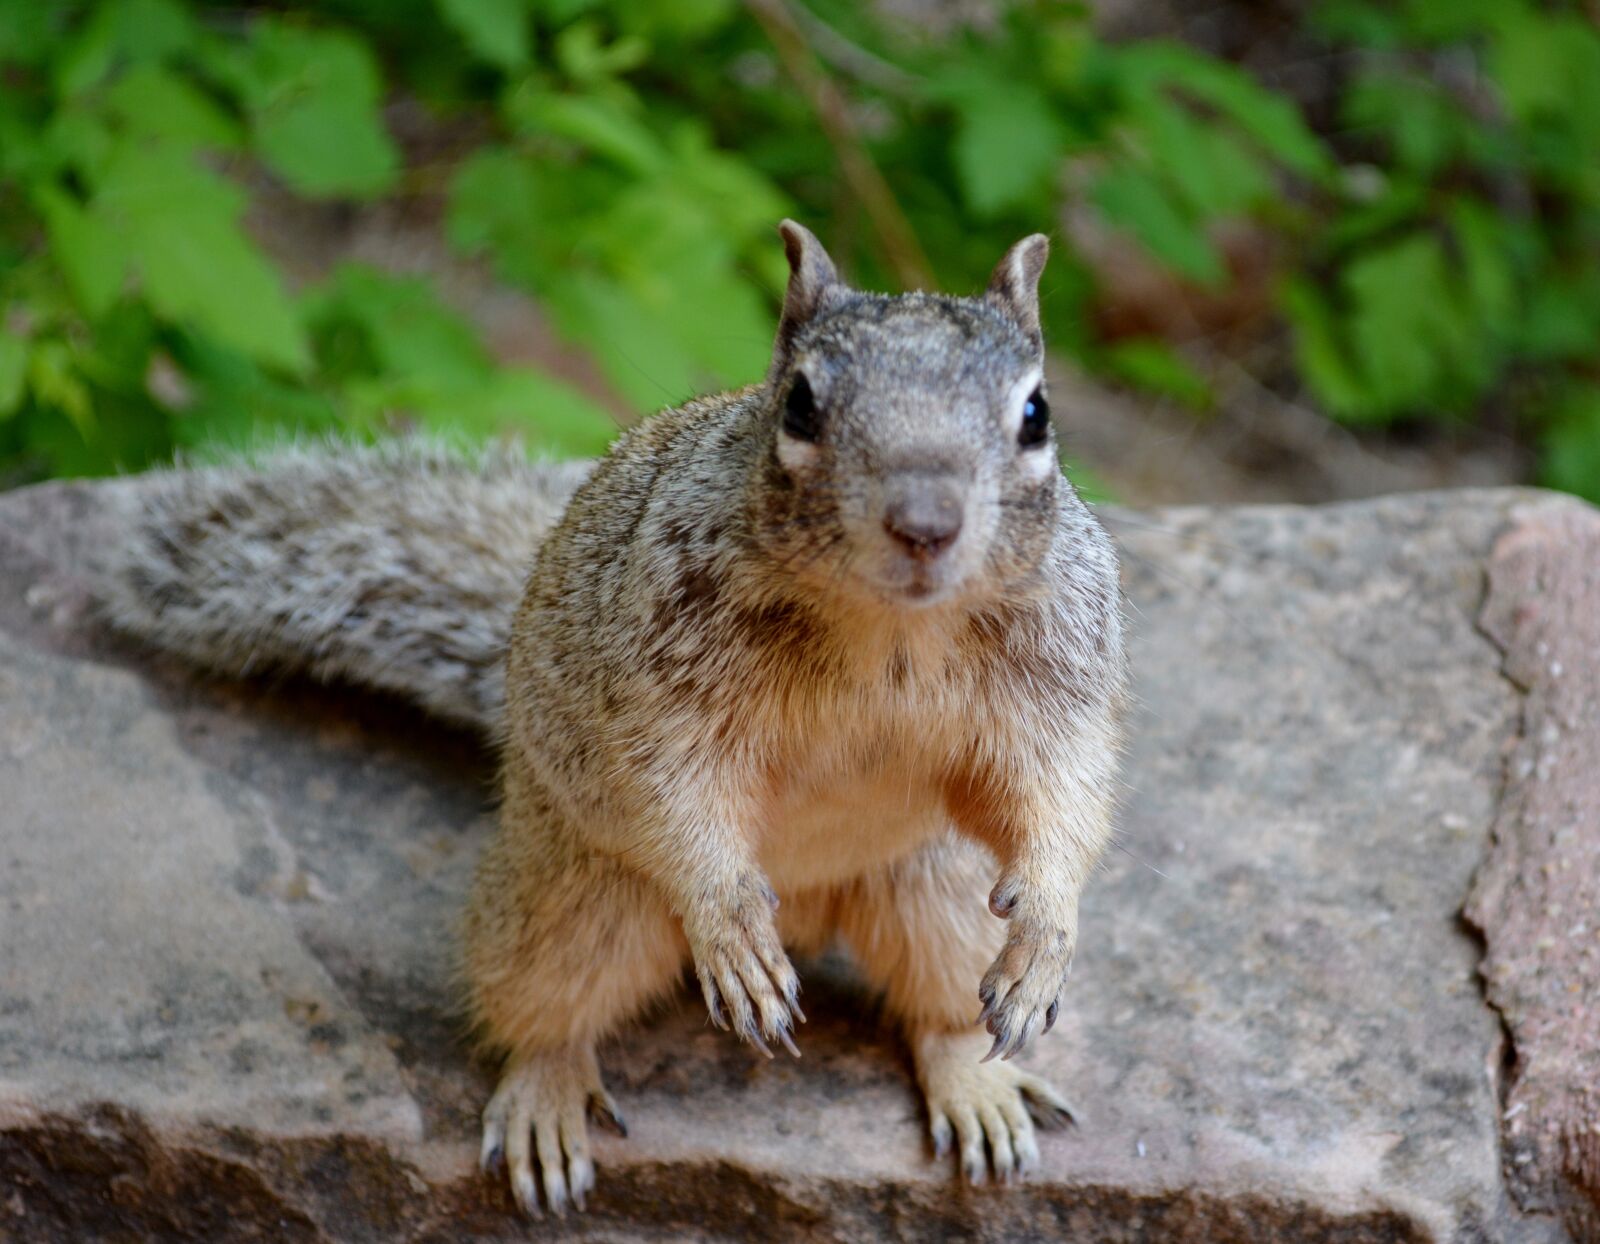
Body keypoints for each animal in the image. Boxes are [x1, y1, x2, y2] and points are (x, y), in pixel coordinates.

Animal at [102, 221, 1128, 1217]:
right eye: (799, 406)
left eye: (1036, 413)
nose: (925, 522)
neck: (890, 627)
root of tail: (809, 907)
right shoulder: (658, 683)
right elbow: (674, 790)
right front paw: (728, 924)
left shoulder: (1066, 674)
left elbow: (1067, 792)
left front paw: (1048, 929)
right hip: (576, 900)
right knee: (541, 1008)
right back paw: (547, 1102)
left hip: (937, 888)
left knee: (943, 1008)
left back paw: (979, 1085)